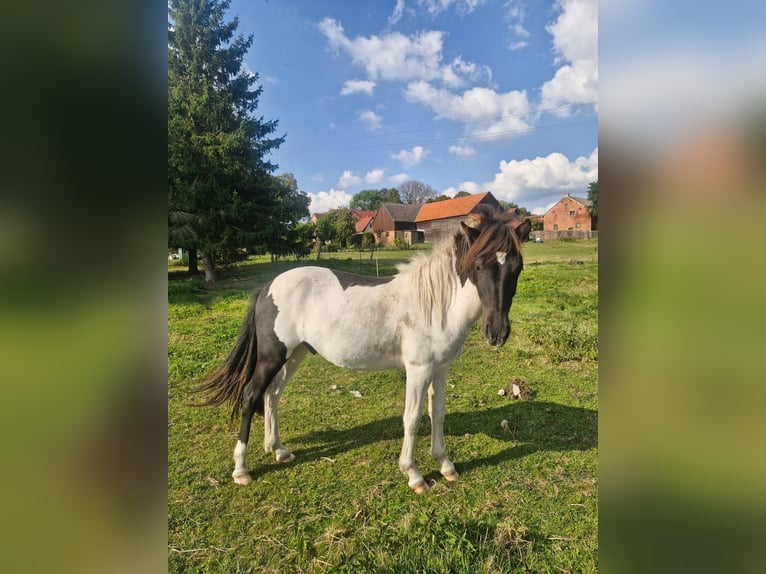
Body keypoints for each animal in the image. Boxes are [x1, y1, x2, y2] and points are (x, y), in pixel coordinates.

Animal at [195, 205, 531, 493]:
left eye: (517, 267)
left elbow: (437, 413)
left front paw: (445, 465)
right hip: (271, 355)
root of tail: (267, 288)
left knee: (272, 395)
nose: (497, 333)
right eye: (479, 265)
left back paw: (278, 450)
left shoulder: (442, 368)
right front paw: (413, 474)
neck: (437, 304)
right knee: (251, 395)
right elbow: (412, 418)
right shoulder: (419, 369)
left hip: (295, 355)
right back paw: (241, 470)